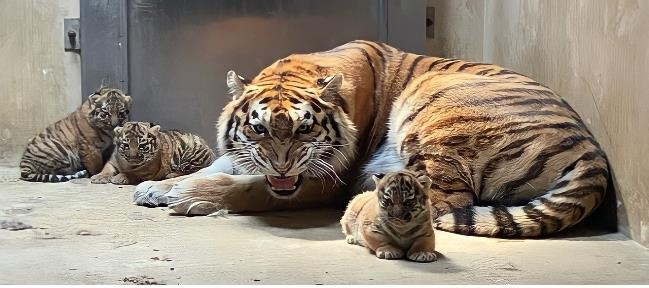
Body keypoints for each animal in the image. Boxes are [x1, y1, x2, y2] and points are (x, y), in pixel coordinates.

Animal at [134, 41, 612, 238]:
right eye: (259, 128)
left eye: (305, 128)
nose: (283, 166)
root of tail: (592, 150)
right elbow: (224, 165)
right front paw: (157, 187)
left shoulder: (322, 180)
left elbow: (251, 189)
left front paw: (188, 194)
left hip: (434, 104)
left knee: (444, 203)